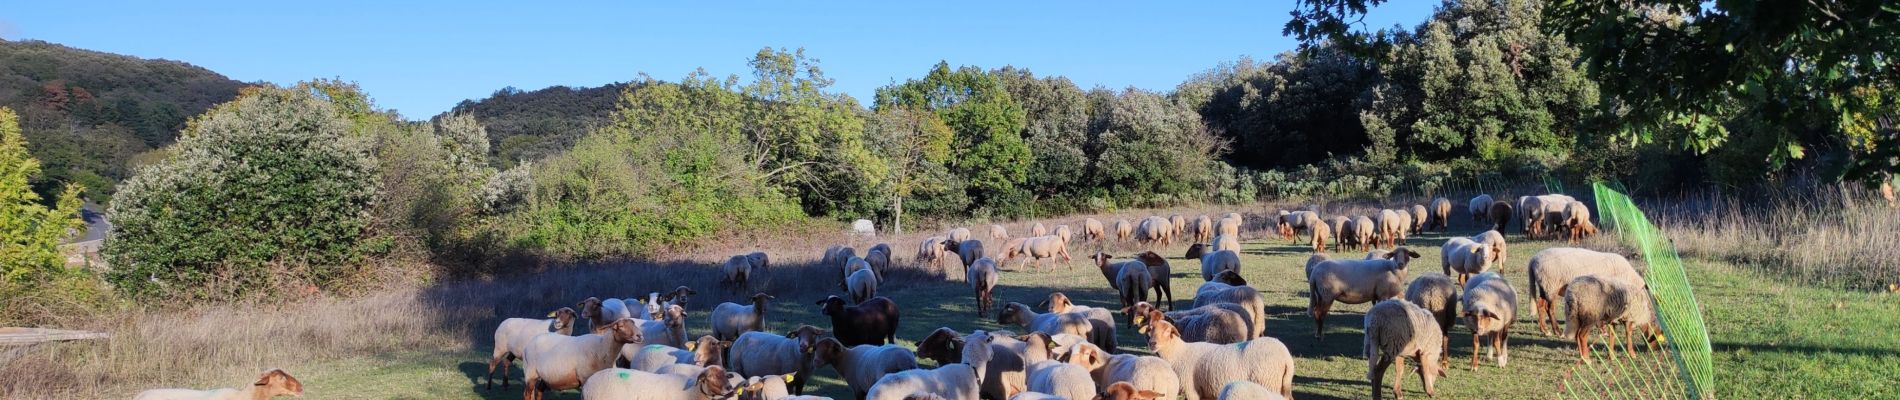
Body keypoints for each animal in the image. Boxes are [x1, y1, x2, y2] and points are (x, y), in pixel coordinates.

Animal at [1132, 318, 1299, 400]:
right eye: (1150, 329)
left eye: (1167, 331)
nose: (1152, 343)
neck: (1178, 353)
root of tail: (1286, 356)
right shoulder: (1205, 392)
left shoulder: (1191, 390)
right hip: (1282, 385)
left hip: (1268, 383)